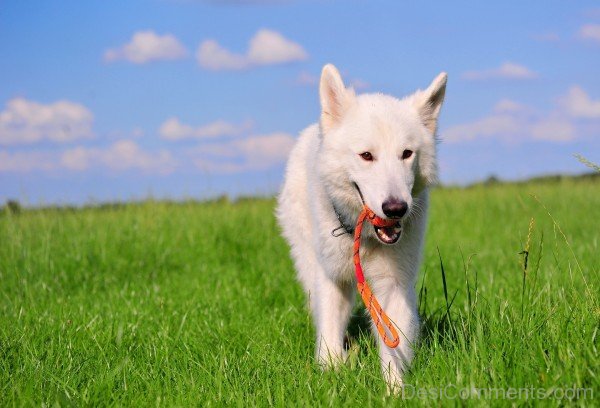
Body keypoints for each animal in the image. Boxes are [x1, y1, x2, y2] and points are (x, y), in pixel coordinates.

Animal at [276, 63, 446, 388]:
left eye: (407, 154)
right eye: (366, 155)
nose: (396, 208)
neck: (365, 238)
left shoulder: (393, 286)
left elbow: (394, 346)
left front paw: (394, 390)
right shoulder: (331, 279)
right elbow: (329, 337)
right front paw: (331, 377)